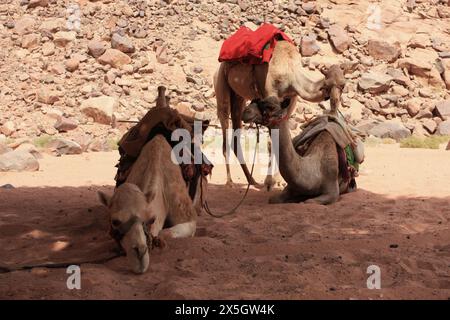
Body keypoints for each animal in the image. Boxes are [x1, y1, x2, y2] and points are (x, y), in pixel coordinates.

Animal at [214, 41, 326, 189]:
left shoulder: (290, 101)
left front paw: (277, 181)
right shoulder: (269, 92)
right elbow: (271, 142)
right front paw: (269, 181)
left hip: (238, 97)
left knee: (235, 137)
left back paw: (252, 181)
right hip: (221, 85)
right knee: (224, 131)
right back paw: (230, 181)